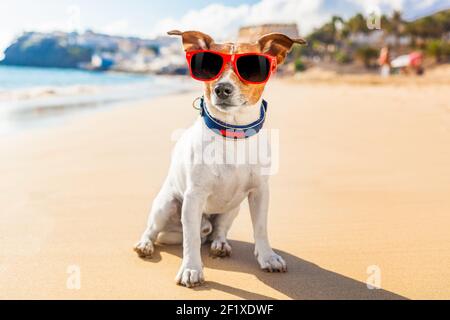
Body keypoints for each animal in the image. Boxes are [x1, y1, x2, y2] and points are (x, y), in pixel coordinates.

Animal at [134, 30, 306, 288]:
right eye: (209, 65)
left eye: (250, 67)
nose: (222, 89)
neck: (232, 134)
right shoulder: (193, 197)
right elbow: (191, 240)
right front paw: (191, 269)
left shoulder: (260, 192)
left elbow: (261, 228)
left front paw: (268, 257)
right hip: (166, 205)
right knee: (154, 230)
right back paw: (145, 245)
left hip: (232, 208)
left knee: (218, 229)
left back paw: (219, 244)